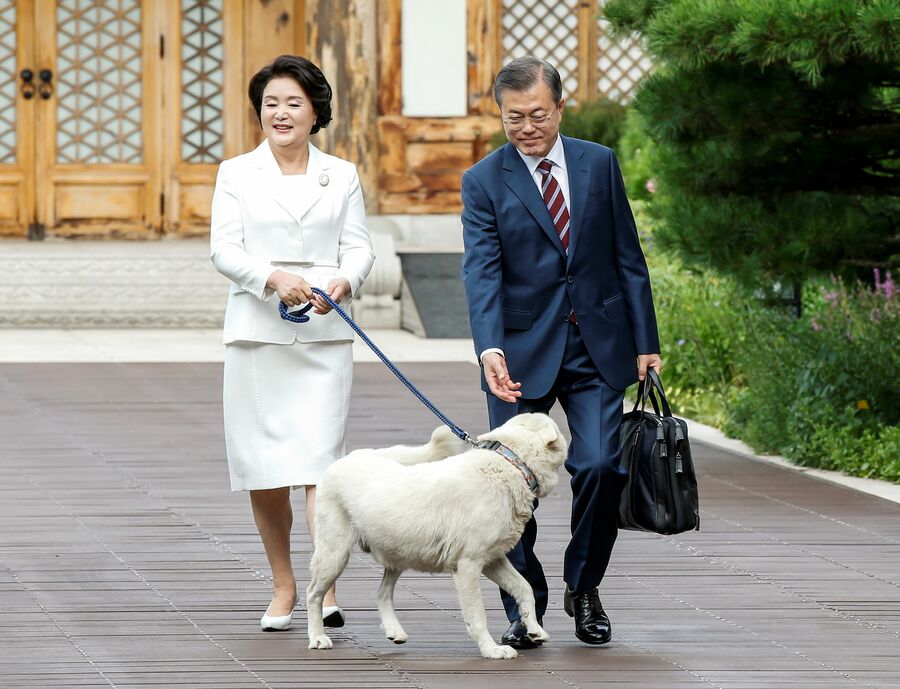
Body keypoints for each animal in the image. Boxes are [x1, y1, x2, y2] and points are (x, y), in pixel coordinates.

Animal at [306, 413, 568, 658]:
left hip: (398, 552)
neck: (511, 464)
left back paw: (394, 631)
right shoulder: (468, 565)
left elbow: (524, 588)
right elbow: (478, 615)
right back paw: (318, 637)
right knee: (313, 594)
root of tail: (352, 456)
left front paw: (534, 630)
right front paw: (491, 650)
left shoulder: (493, 560)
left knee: (382, 593)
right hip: (334, 554)